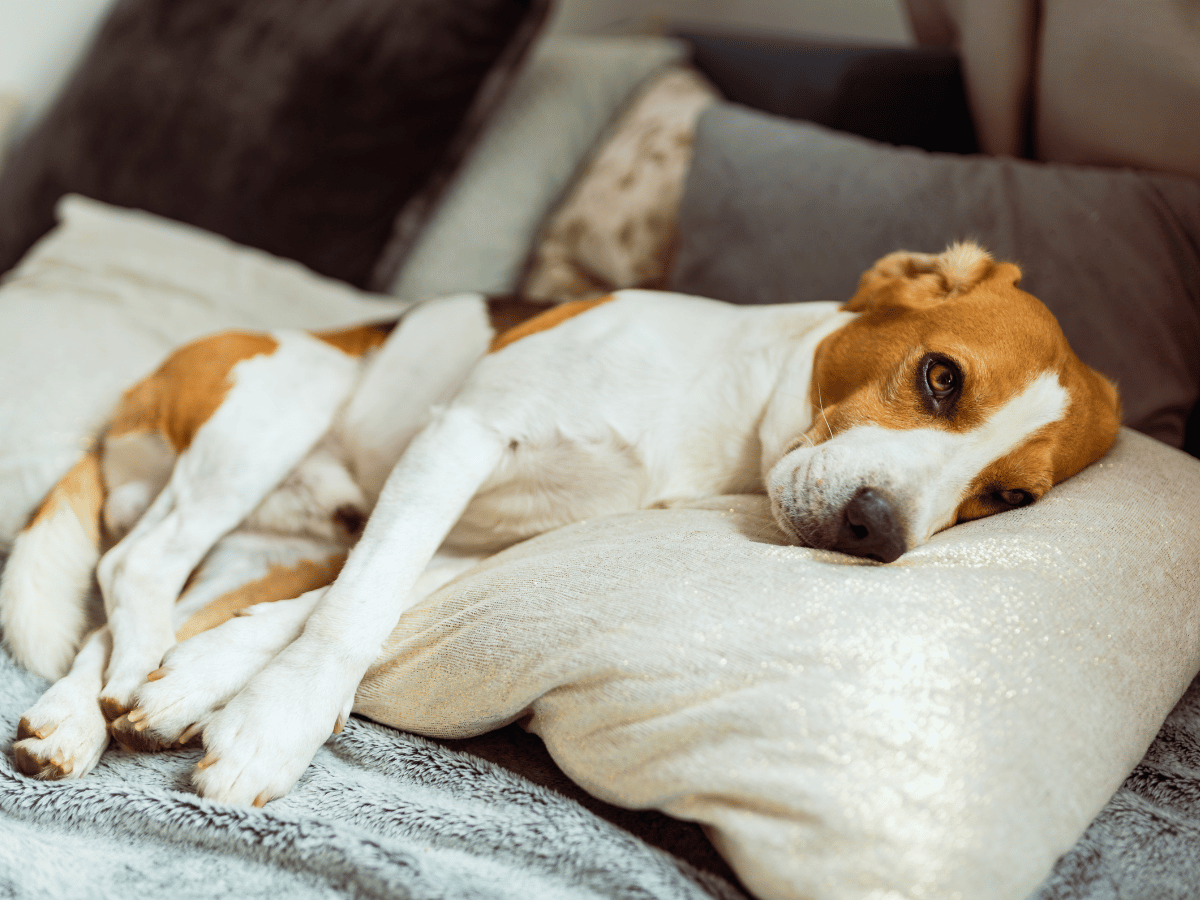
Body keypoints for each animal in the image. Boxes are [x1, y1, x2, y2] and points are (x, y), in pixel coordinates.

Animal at [2, 241, 1123, 811]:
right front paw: (277, 726)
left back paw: (82, 714)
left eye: (1008, 500)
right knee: (136, 567)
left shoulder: (473, 544)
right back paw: (124, 674)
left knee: (146, 598)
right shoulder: (459, 437)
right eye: (941, 378)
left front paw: (206, 684)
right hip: (278, 400)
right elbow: (355, 612)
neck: (718, 413)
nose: (879, 530)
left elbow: (335, 604)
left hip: (275, 536)